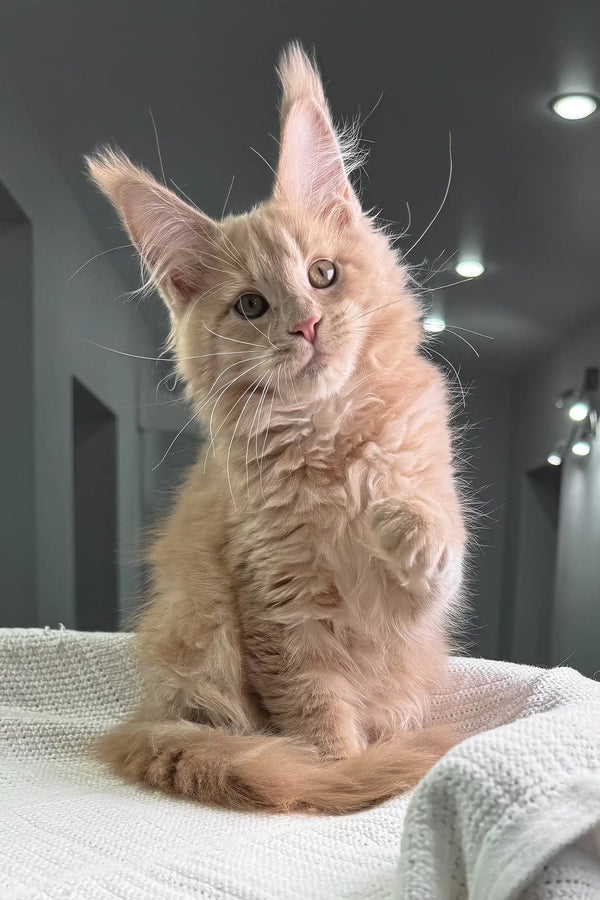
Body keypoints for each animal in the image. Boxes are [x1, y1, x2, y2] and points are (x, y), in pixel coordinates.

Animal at [86, 44, 466, 816]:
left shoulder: (412, 601)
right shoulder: (279, 609)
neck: (330, 439)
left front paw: (398, 520)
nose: (307, 325)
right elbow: (318, 717)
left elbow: (434, 536)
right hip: (199, 640)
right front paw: (341, 775)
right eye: (253, 306)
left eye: (322, 274)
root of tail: (151, 713)